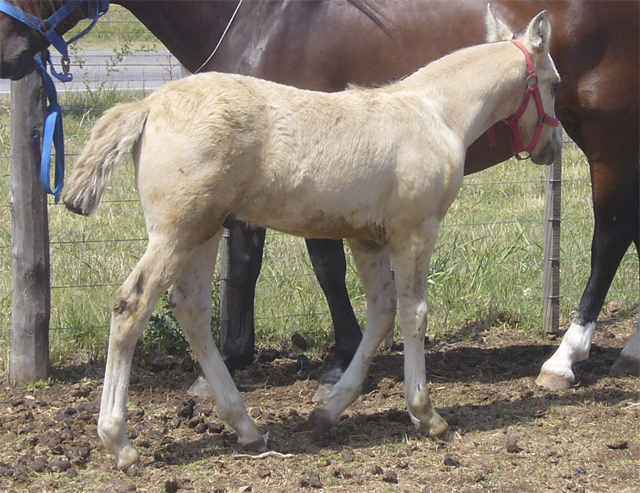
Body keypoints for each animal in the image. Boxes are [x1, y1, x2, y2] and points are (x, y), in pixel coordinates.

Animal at [0, 0, 636, 388]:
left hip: (608, 133)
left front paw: (335, 356)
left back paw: (564, 359)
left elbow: (312, 263)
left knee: (611, 235)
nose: (6, 52)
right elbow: (251, 260)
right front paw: (242, 355)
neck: (262, 17)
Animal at [61, 8, 560, 468]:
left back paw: (246, 427)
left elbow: (381, 314)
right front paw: (426, 414)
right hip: (176, 232)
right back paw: (119, 441)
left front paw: (328, 411)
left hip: (201, 232)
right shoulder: (415, 229)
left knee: (191, 310)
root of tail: (146, 107)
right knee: (132, 305)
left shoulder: (368, 238)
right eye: (553, 82)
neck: (435, 113)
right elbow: (413, 314)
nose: (553, 148)